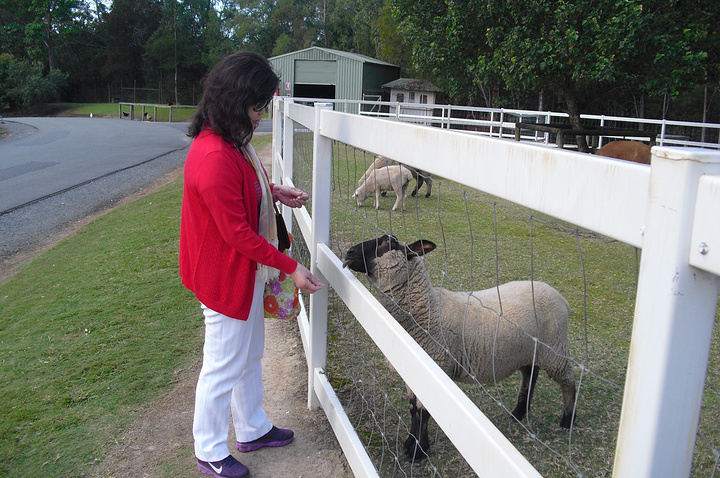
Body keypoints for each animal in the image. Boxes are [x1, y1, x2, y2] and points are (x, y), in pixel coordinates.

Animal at [344, 235, 580, 460]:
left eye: (386, 242)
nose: (349, 252)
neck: (428, 309)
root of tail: (563, 299)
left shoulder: (437, 365)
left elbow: (424, 413)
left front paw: (418, 451)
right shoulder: (415, 370)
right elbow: (413, 409)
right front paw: (410, 443)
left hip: (555, 349)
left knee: (568, 380)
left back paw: (567, 420)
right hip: (528, 351)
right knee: (530, 374)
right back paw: (518, 413)